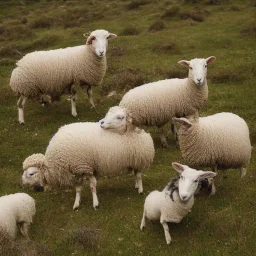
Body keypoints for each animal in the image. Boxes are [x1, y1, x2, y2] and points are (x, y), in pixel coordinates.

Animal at [21, 106, 154, 210]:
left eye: (31, 173)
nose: (22, 182)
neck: (55, 162)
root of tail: (142, 131)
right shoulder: (78, 171)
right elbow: (78, 189)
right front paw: (76, 203)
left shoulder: (86, 167)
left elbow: (92, 186)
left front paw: (95, 203)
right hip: (134, 161)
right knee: (136, 174)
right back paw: (136, 185)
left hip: (139, 159)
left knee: (138, 175)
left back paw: (140, 190)